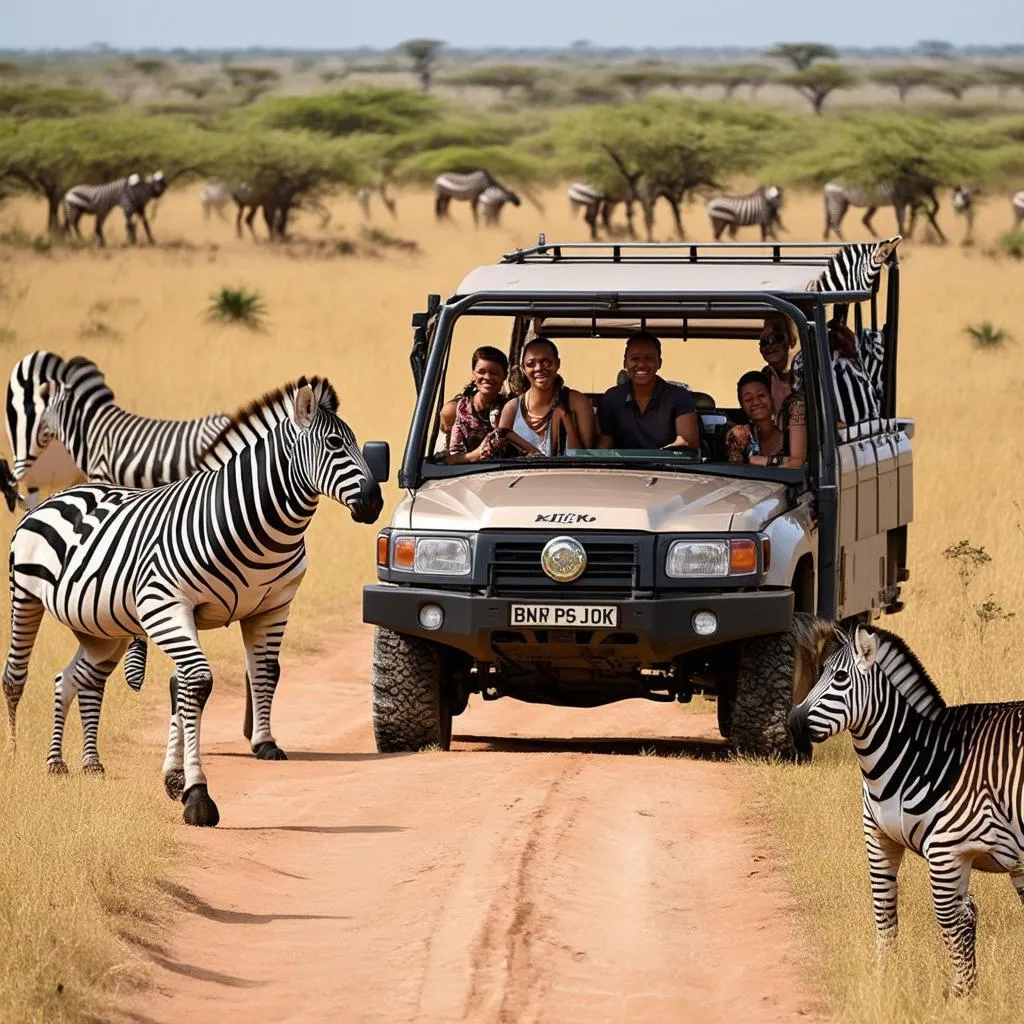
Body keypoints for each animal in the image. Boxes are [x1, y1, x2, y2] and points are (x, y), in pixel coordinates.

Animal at [4, 376, 380, 823]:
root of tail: (59, 494)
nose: (375, 502)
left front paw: (256, 747)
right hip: (26, 597)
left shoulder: (272, 606)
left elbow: (260, 672)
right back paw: (14, 755)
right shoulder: (166, 606)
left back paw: (69, 763)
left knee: (73, 678)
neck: (250, 524)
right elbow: (194, 684)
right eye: (336, 443)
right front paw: (195, 792)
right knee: (15, 676)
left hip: (102, 627)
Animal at [790, 618, 1024, 995]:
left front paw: (960, 995)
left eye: (839, 678)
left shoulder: (947, 851)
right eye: (819, 672)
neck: (921, 755)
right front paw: (884, 980)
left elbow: (952, 921)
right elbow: (884, 912)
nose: (793, 725)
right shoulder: (880, 841)